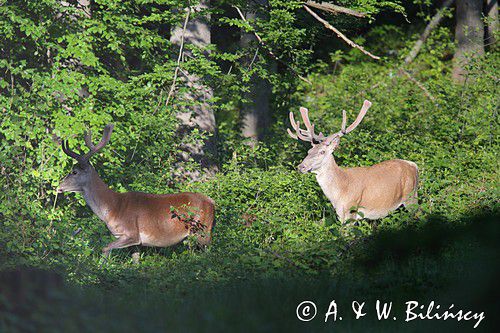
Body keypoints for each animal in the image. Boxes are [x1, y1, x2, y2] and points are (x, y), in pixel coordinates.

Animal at [57, 124, 215, 256]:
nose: (58, 186)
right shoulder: (136, 244)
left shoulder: (132, 233)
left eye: (74, 171)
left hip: (202, 230)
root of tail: (211, 202)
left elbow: (105, 248)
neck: (112, 207)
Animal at [288, 100, 420, 222]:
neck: (340, 193)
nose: (301, 166)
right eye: (309, 151)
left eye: (322, 152)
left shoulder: (350, 212)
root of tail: (414, 165)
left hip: (411, 196)